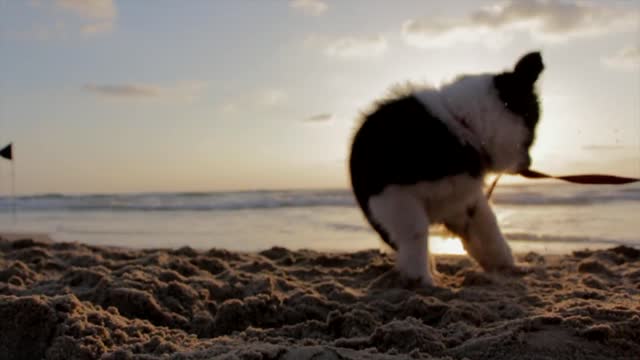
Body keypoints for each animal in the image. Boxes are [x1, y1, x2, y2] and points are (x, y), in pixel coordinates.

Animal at [348, 52, 544, 286]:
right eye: (531, 132)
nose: (529, 165)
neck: (461, 125)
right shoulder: (394, 196)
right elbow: (415, 233)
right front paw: (421, 277)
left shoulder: (464, 201)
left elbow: (489, 229)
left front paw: (507, 266)